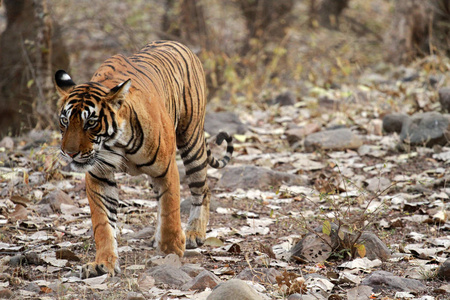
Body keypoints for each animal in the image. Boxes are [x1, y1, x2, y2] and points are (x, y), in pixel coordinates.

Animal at [54, 40, 234, 278]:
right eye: (65, 121)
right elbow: (103, 223)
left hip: (191, 141)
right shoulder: (99, 175)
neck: (114, 143)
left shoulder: (166, 169)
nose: (70, 153)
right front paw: (102, 264)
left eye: (90, 123)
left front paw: (172, 250)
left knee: (202, 190)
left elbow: (170, 210)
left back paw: (194, 233)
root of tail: (178, 43)